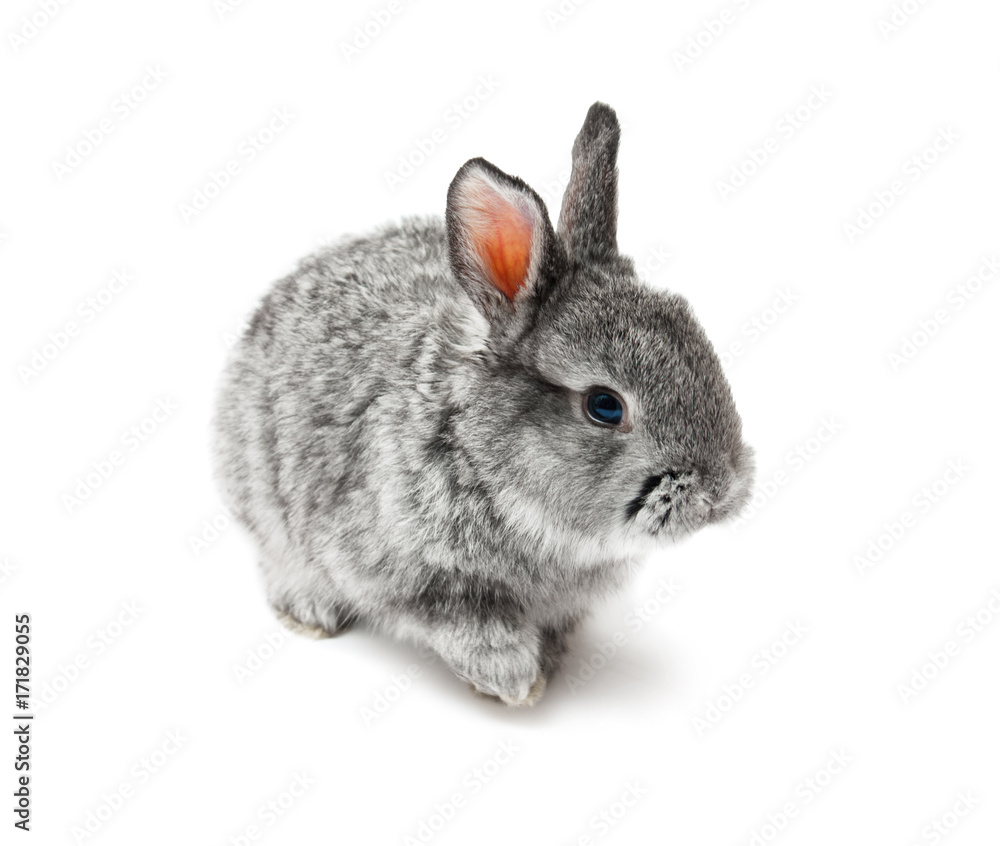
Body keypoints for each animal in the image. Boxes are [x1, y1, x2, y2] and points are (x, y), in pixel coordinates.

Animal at [213, 102, 755, 707]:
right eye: (605, 406)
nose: (722, 493)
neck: (482, 460)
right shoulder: (405, 575)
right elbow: (458, 621)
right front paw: (513, 679)